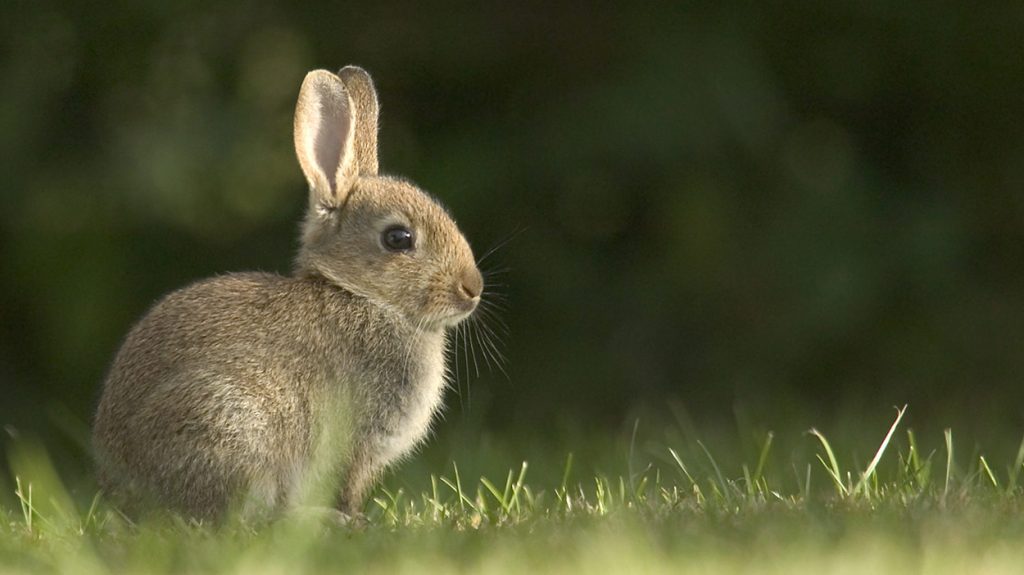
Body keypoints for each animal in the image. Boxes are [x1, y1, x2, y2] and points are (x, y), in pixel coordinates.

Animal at [92, 65, 483, 519]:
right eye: (398, 238)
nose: (473, 288)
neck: (361, 295)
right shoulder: (356, 443)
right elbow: (346, 486)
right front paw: (353, 518)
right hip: (230, 426)